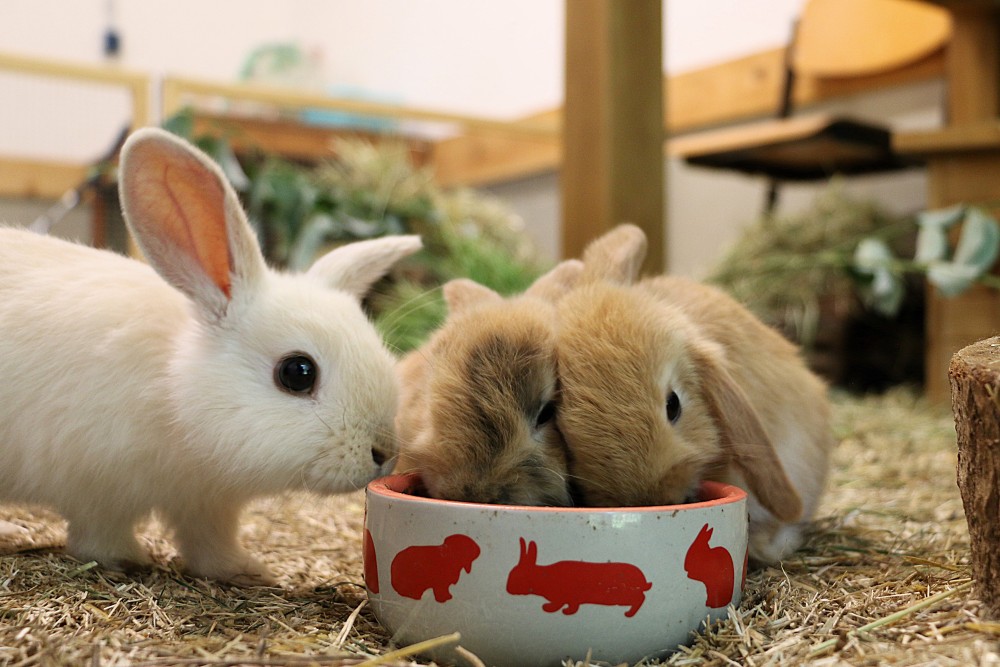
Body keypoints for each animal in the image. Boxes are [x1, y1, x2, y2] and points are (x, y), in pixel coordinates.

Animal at [0, 127, 421, 584]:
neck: (174, 391)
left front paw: (249, 571)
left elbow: (211, 544)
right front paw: (129, 559)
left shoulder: (209, 504)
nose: (385, 452)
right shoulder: (98, 487)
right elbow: (99, 536)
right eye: (297, 372)